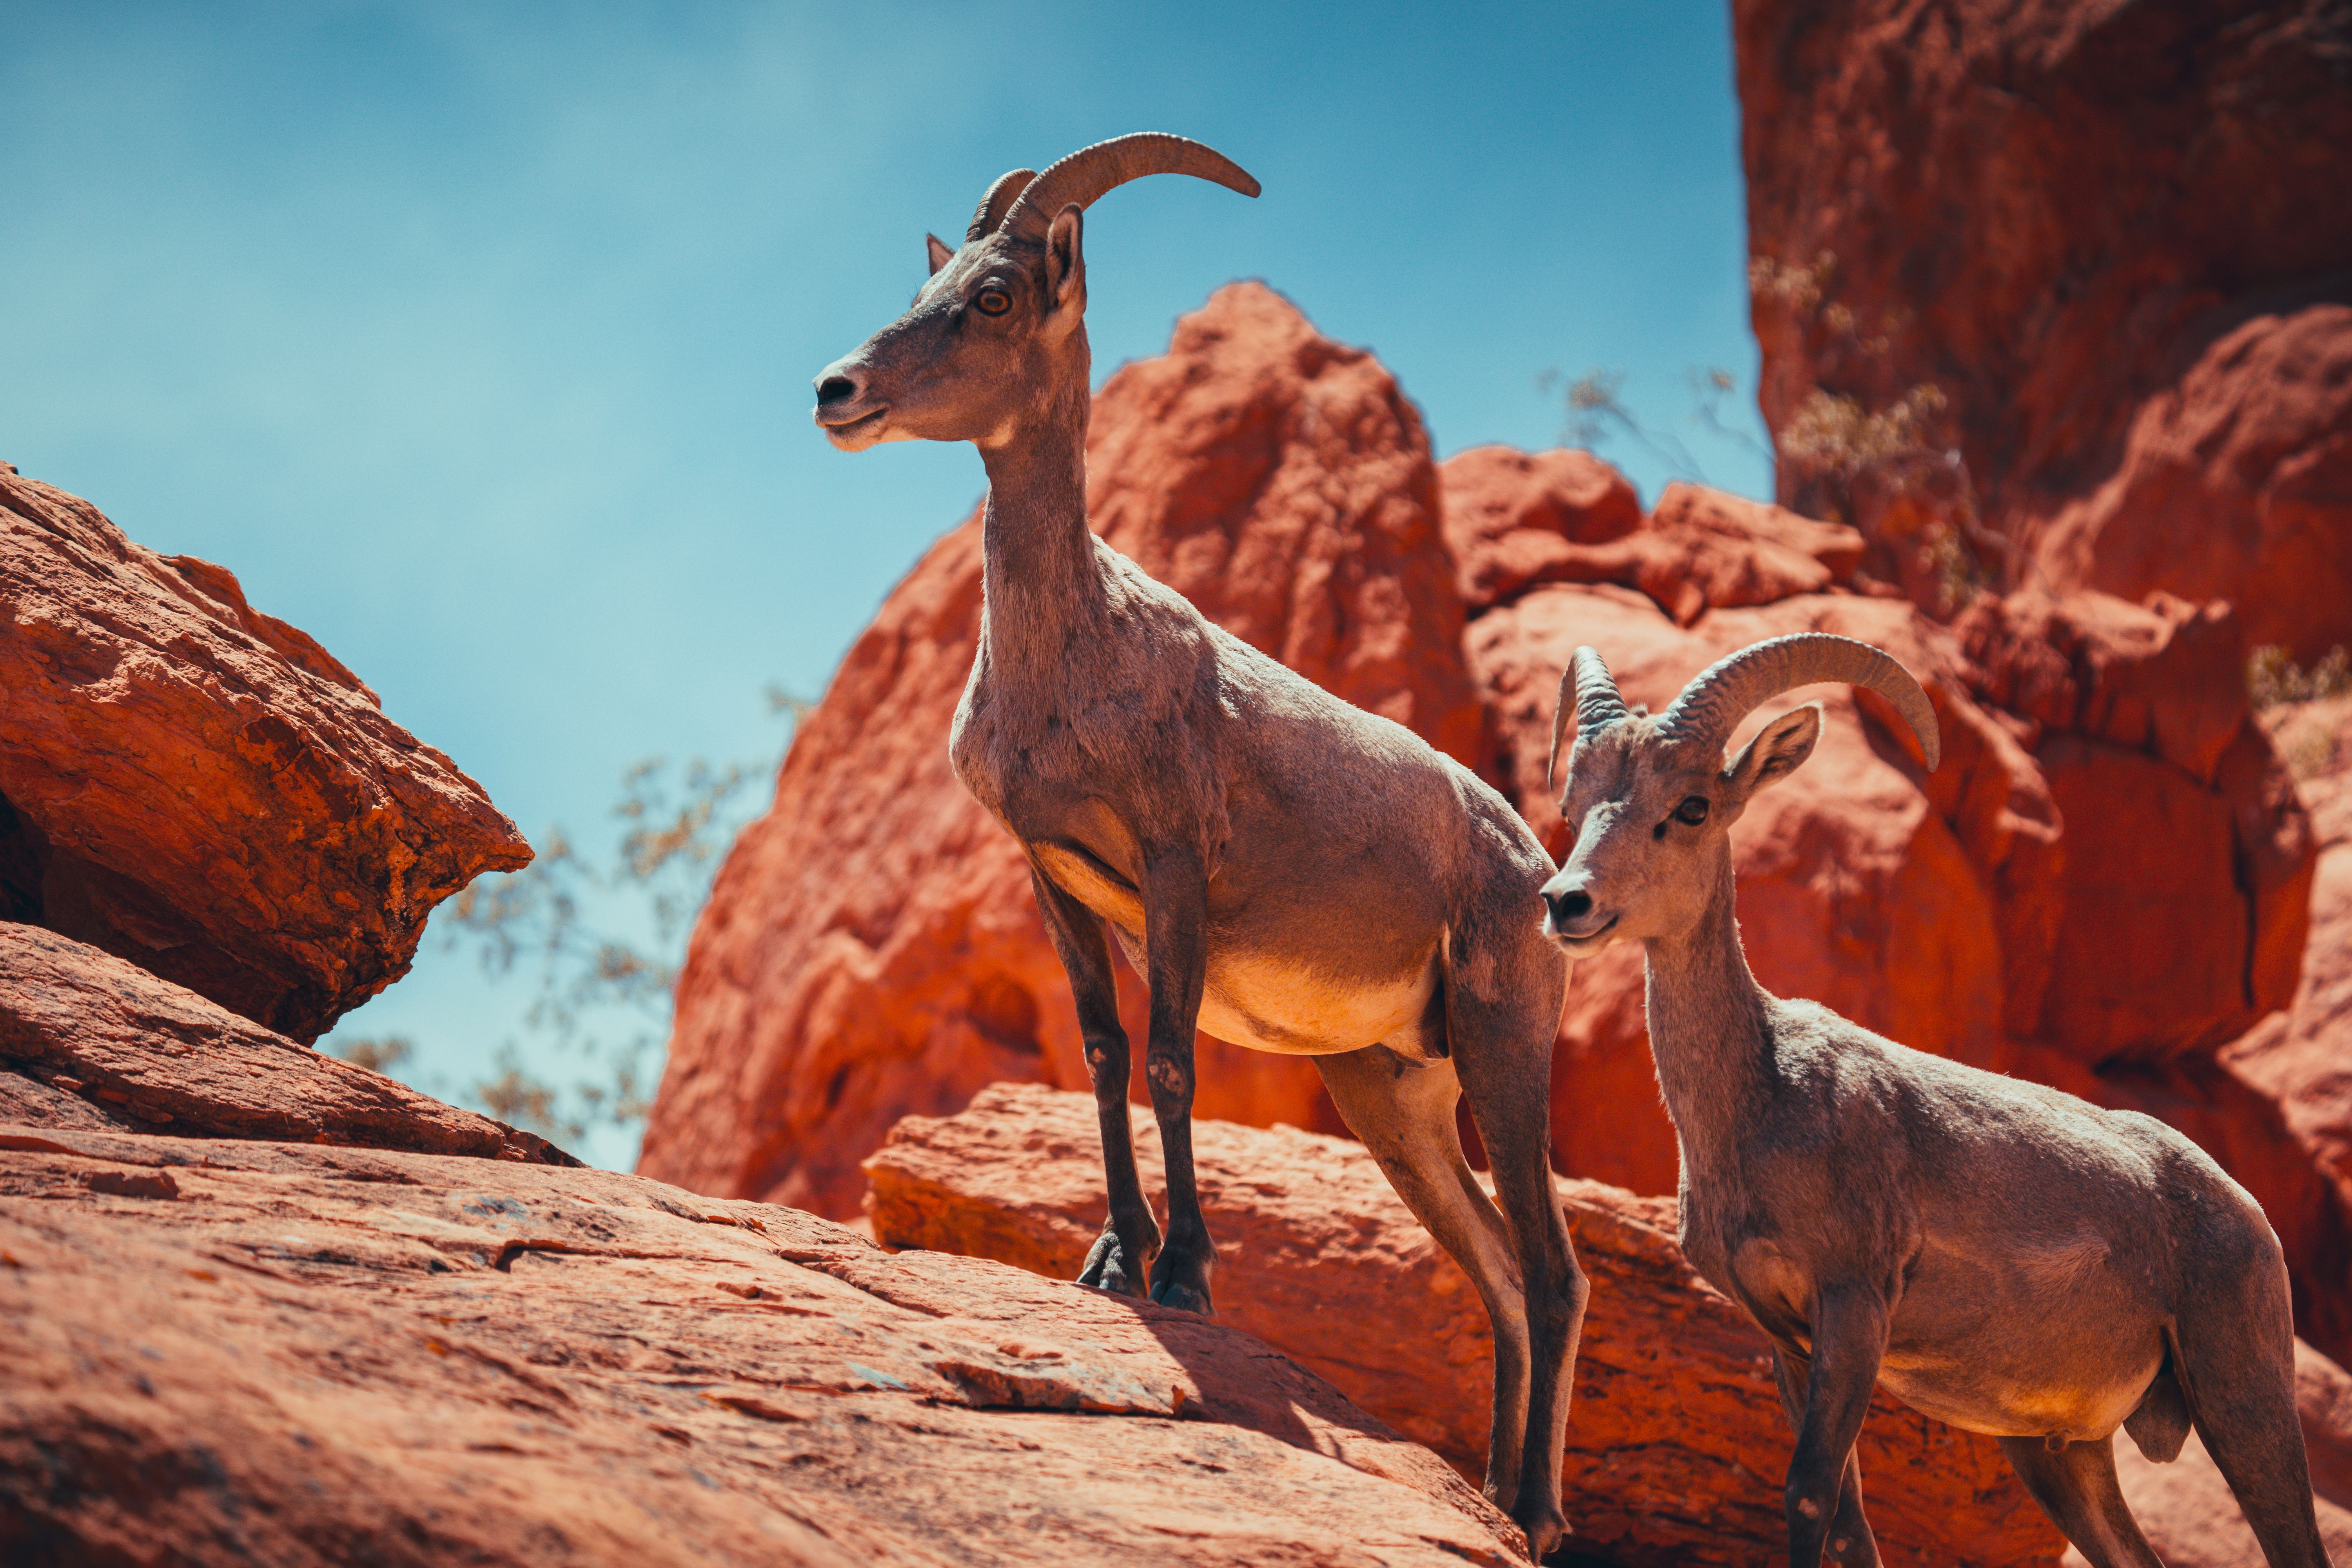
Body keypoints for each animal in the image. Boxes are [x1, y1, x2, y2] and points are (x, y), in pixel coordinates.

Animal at [808, 134, 1587, 1552]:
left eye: (995, 297)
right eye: (927, 285)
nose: (839, 390)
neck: (1077, 657)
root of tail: (1537, 866)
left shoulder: (1173, 874)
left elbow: (1172, 1067)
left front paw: (1183, 1278)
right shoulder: (1057, 882)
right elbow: (1109, 1056)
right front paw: (1112, 1260)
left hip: (1506, 1051)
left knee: (1554, 1278)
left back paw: (1540, 1515)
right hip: (1393, 1099)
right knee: (1501, 1273)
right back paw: (1501, 1502)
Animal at [1538, 630, 2328, 1567]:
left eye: (1692, 807)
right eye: (1575, 803)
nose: (1568, 903)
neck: (1760, 1100)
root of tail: (2247, 1213)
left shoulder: (1854, 1310)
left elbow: (1809, 1498)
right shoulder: (1787, 1340)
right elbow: (1849, 1522)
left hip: (2244, 1397)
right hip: (2056, 1453)